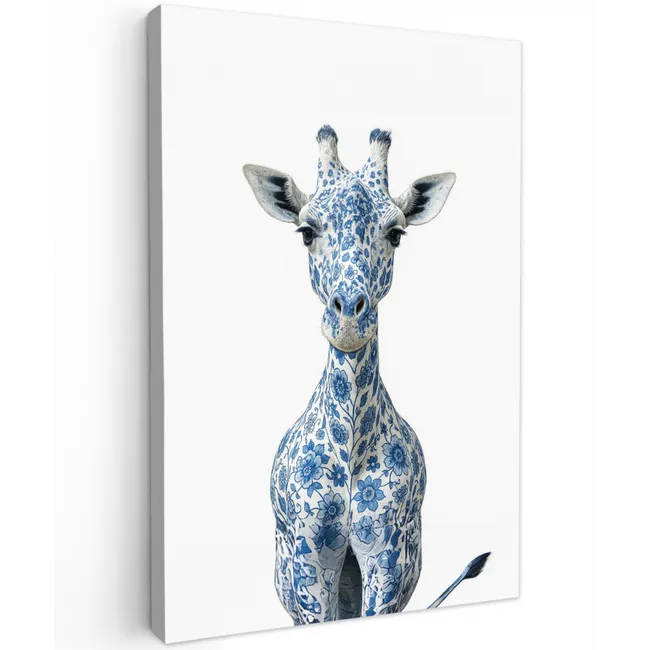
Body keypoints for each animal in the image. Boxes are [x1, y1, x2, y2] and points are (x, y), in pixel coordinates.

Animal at [243, 126, 490, 624]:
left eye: (395, 234)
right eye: (305, 232)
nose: (348, 324)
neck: (351, 451)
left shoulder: (386, 556)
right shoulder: (310, 557)